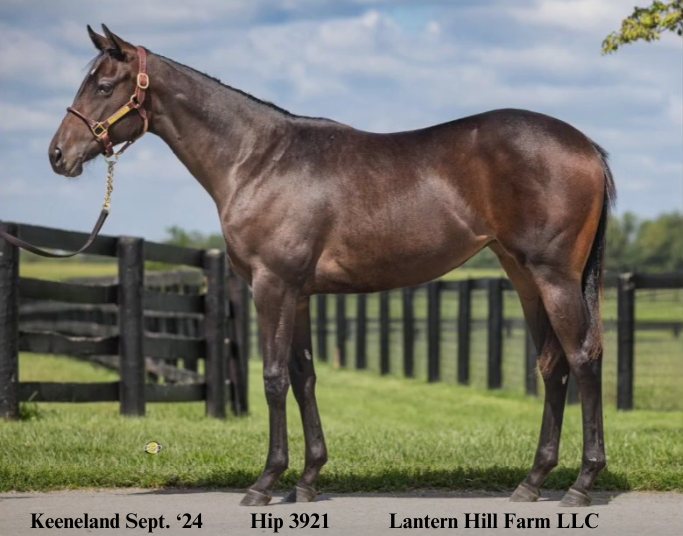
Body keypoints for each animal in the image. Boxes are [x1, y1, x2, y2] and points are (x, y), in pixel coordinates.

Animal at [48, 25, 615, 507]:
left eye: (103, 84)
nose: (57, 155)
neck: (259, 160)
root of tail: (587, 146)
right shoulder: (298, 293)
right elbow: (304, 377)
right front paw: (308, 479)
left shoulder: (271, 285)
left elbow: (274, 377)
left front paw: (265, 483)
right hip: (523, 276)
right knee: (553, 364)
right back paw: (533, 481)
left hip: (554, 277)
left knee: (582, 359)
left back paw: (582, 484)